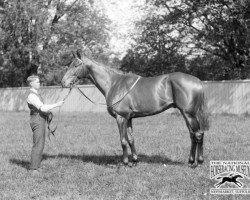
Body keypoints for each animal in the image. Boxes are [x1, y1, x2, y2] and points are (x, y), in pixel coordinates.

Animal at [61, 52, 209, 168]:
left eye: (76, 65)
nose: (63, 83)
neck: (114, 83)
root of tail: (198, 81)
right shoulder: (129, 118)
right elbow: (131, 139)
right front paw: (135, 161)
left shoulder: (121, 117)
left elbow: (123, 140)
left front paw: (125, 163)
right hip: (187, 115)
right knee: (193, 135)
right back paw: (191, 161)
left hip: (189, 114)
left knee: (198, 134)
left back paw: (198, 163)